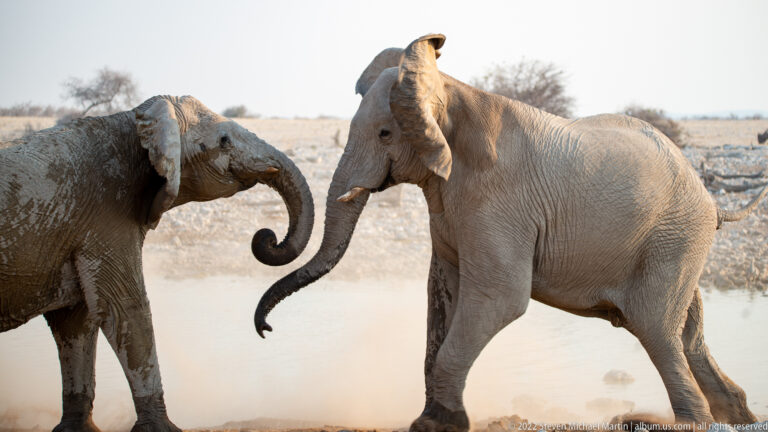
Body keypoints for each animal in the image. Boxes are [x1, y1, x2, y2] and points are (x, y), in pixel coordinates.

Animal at [0, 95, 314, 432]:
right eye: (224, 140)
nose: (267, 237)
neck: (137, 121)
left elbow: (74, 321)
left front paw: (77, 430)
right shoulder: (104, 216)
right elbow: (125, 308)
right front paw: (160, 428)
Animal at [254, 34, 768, 429]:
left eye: (384, 133)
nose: (265, 329)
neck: (451, 88)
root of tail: (711, 200)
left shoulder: (499, 205)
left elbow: (500, 297)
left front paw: (439, 424)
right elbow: (441, 294)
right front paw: (435, 420)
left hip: (674, 238)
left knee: (656, 328)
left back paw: (694, 420)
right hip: (675, 242)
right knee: (688, 334)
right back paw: (737, 413)